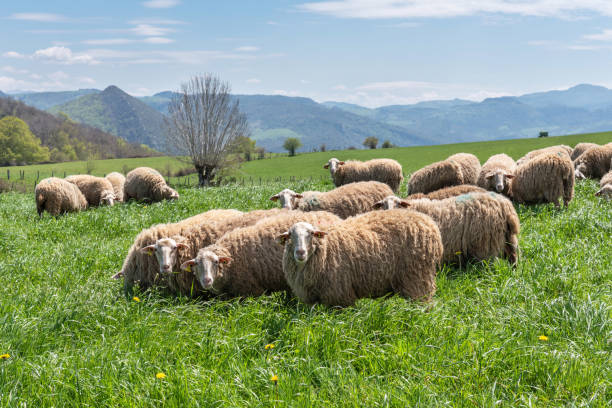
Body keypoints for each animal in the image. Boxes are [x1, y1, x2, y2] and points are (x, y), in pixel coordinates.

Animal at [274, 210, 442, 306]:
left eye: (311, 234)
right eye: (290, 236)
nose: (300, 252)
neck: (326, 249)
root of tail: (430, 223)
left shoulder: (339, 296)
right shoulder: (312, 300)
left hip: (417, 278)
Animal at [376, 191, 520, 264]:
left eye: (398, 203)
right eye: (382, 205)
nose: (389, 214)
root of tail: (505, 205)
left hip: (485, 243)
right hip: (509, 238)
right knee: (513, 256)